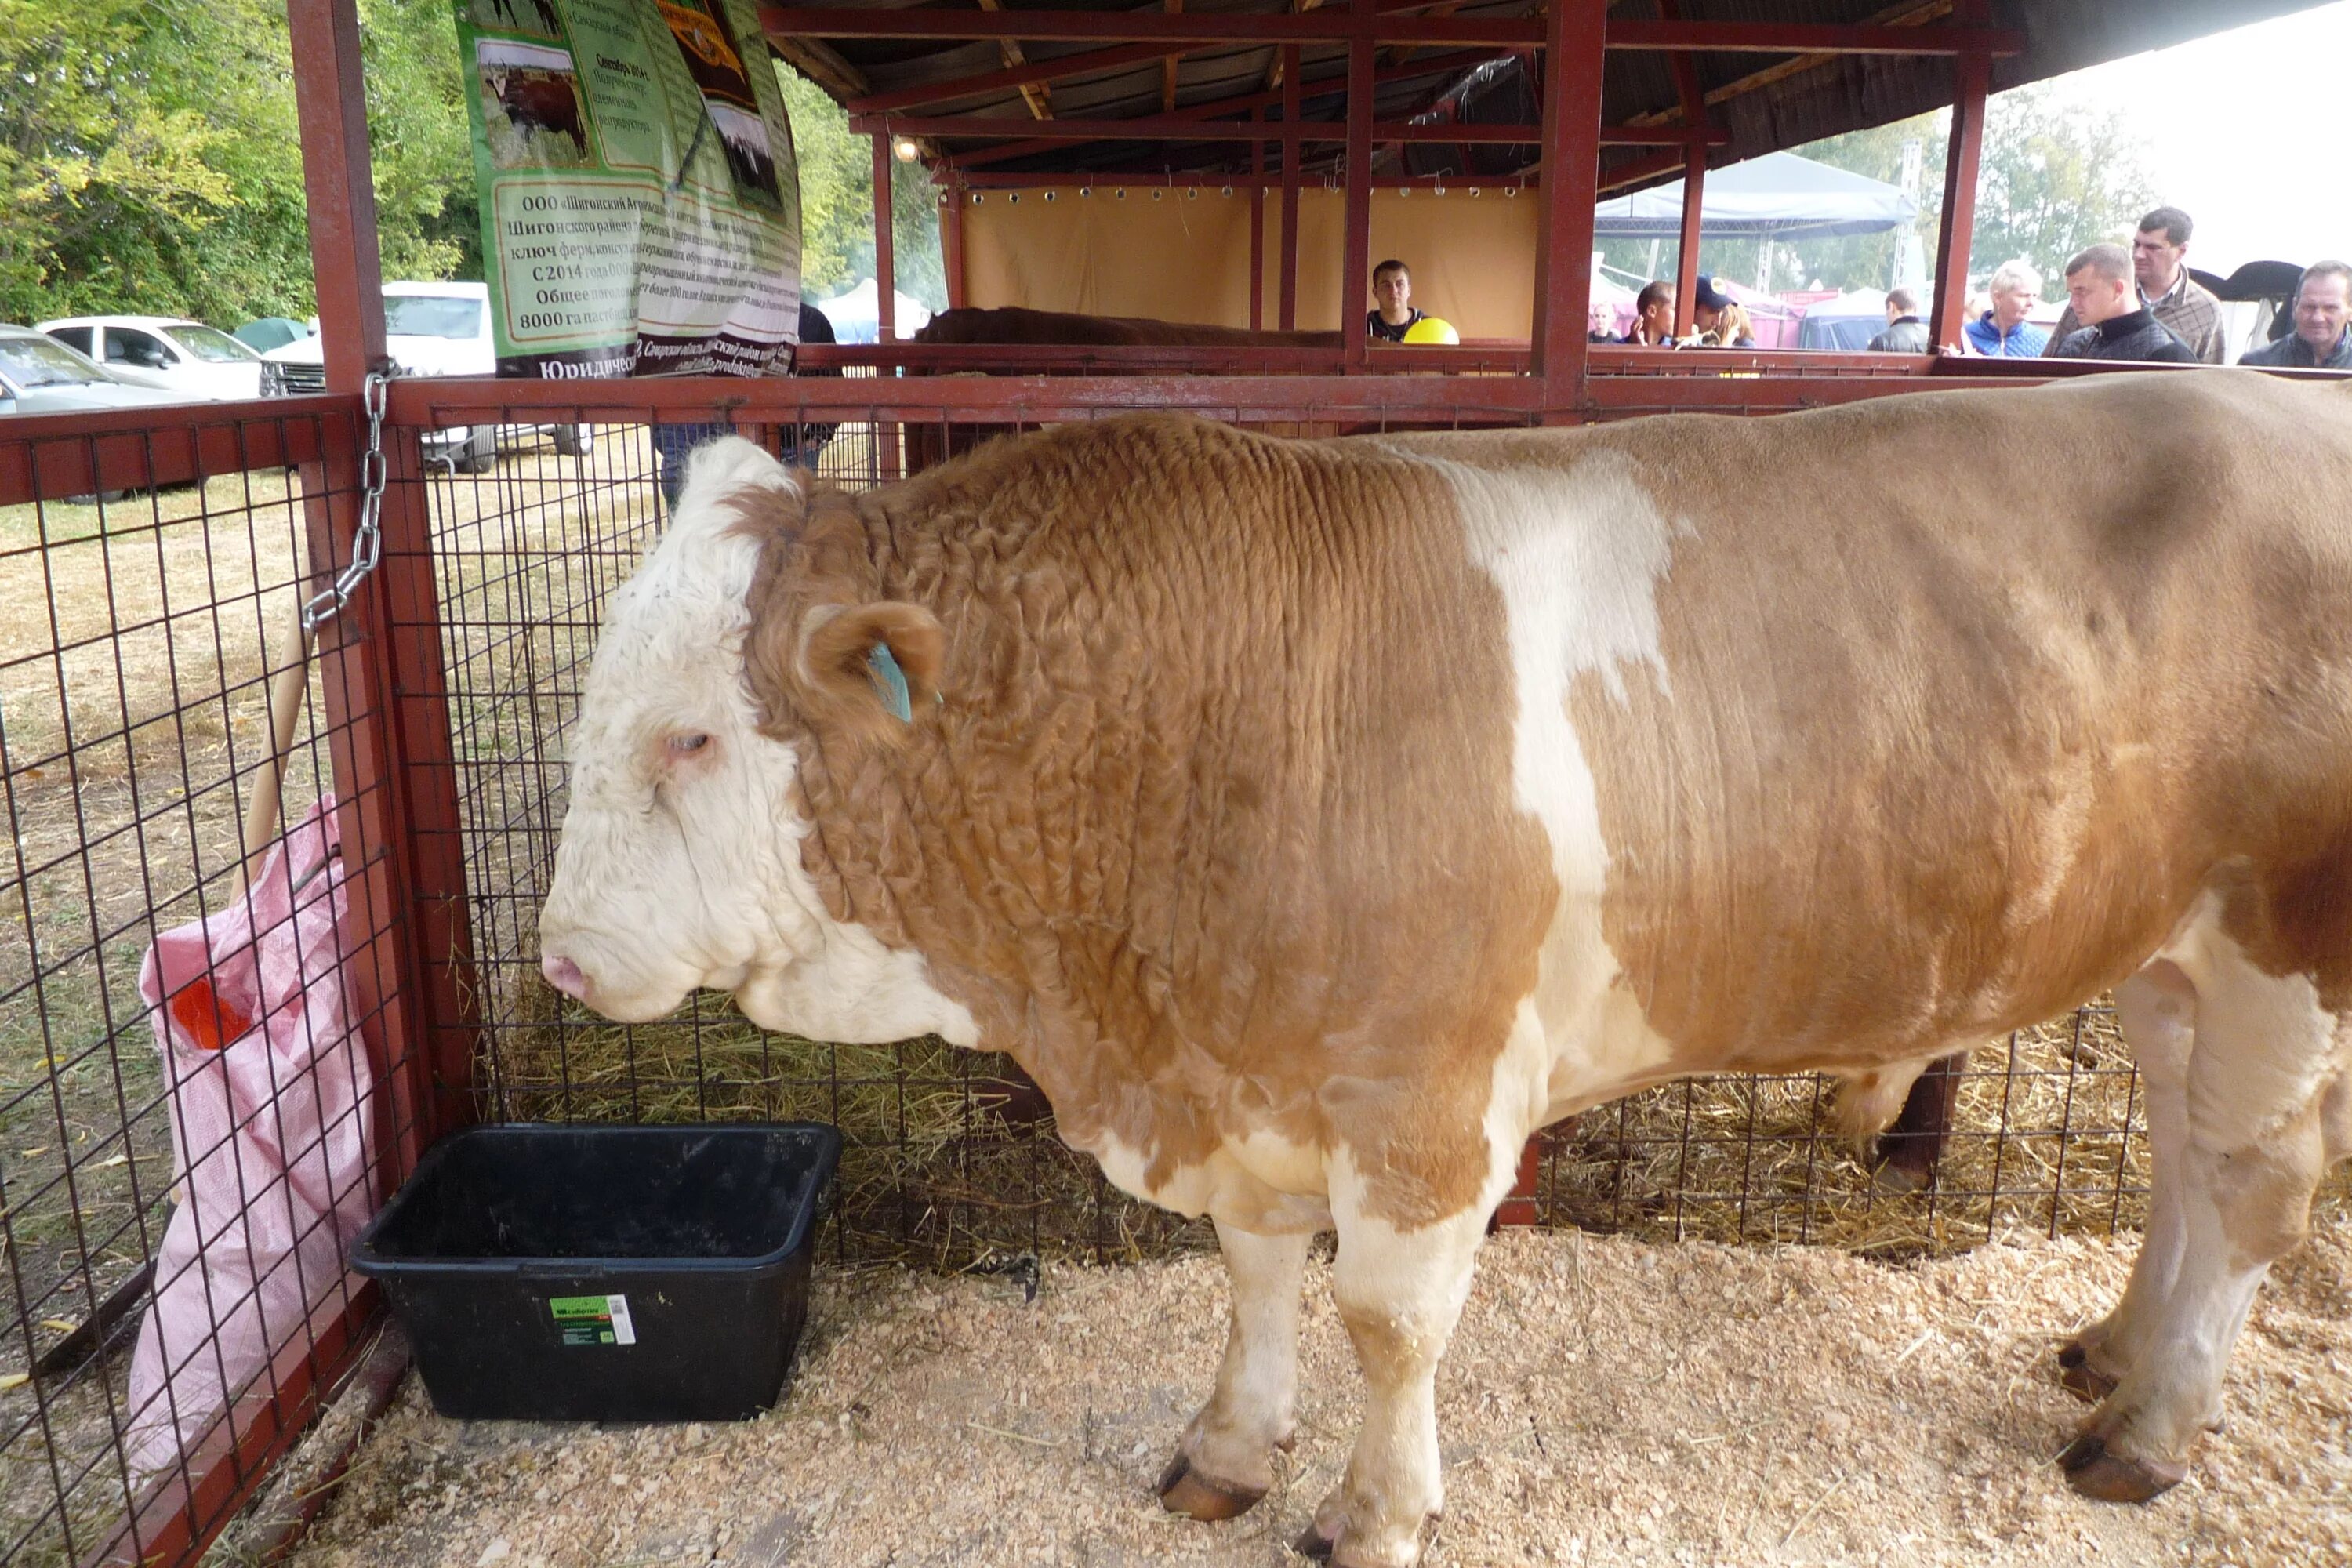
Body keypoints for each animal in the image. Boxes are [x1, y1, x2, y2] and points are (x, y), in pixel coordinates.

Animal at [541, 373, 2352, 1561]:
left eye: (694, 736)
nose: (561, 958)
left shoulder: (1426, 1095)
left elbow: (1387, 1319)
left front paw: (1374, 1510)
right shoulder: (1257, 1072)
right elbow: (1257, 1272)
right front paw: (1228, 1448)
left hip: (2286, 947)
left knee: (2256, 1182)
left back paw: (2148, 1433)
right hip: (2170, 957)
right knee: (2185, 1161)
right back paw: (2115, 1348)